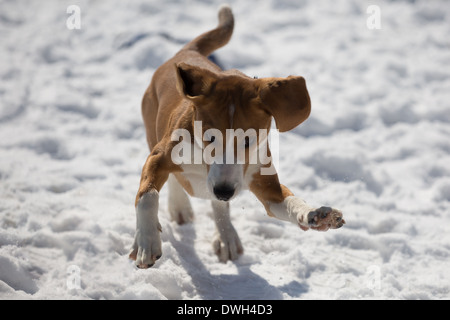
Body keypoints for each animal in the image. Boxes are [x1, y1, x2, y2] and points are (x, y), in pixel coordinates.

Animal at [128, 5, 346, 270]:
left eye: (248, 141)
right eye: (209, 137)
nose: (224, 190)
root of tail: (186, 51)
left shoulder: (263, 181)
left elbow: (288, 201)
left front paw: (315, 215)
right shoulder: (159, 157)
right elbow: (147, 195)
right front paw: (147, 242)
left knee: (217, 205)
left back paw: (226, 236)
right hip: (152, 129)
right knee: (175, 181)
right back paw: (180, 207)